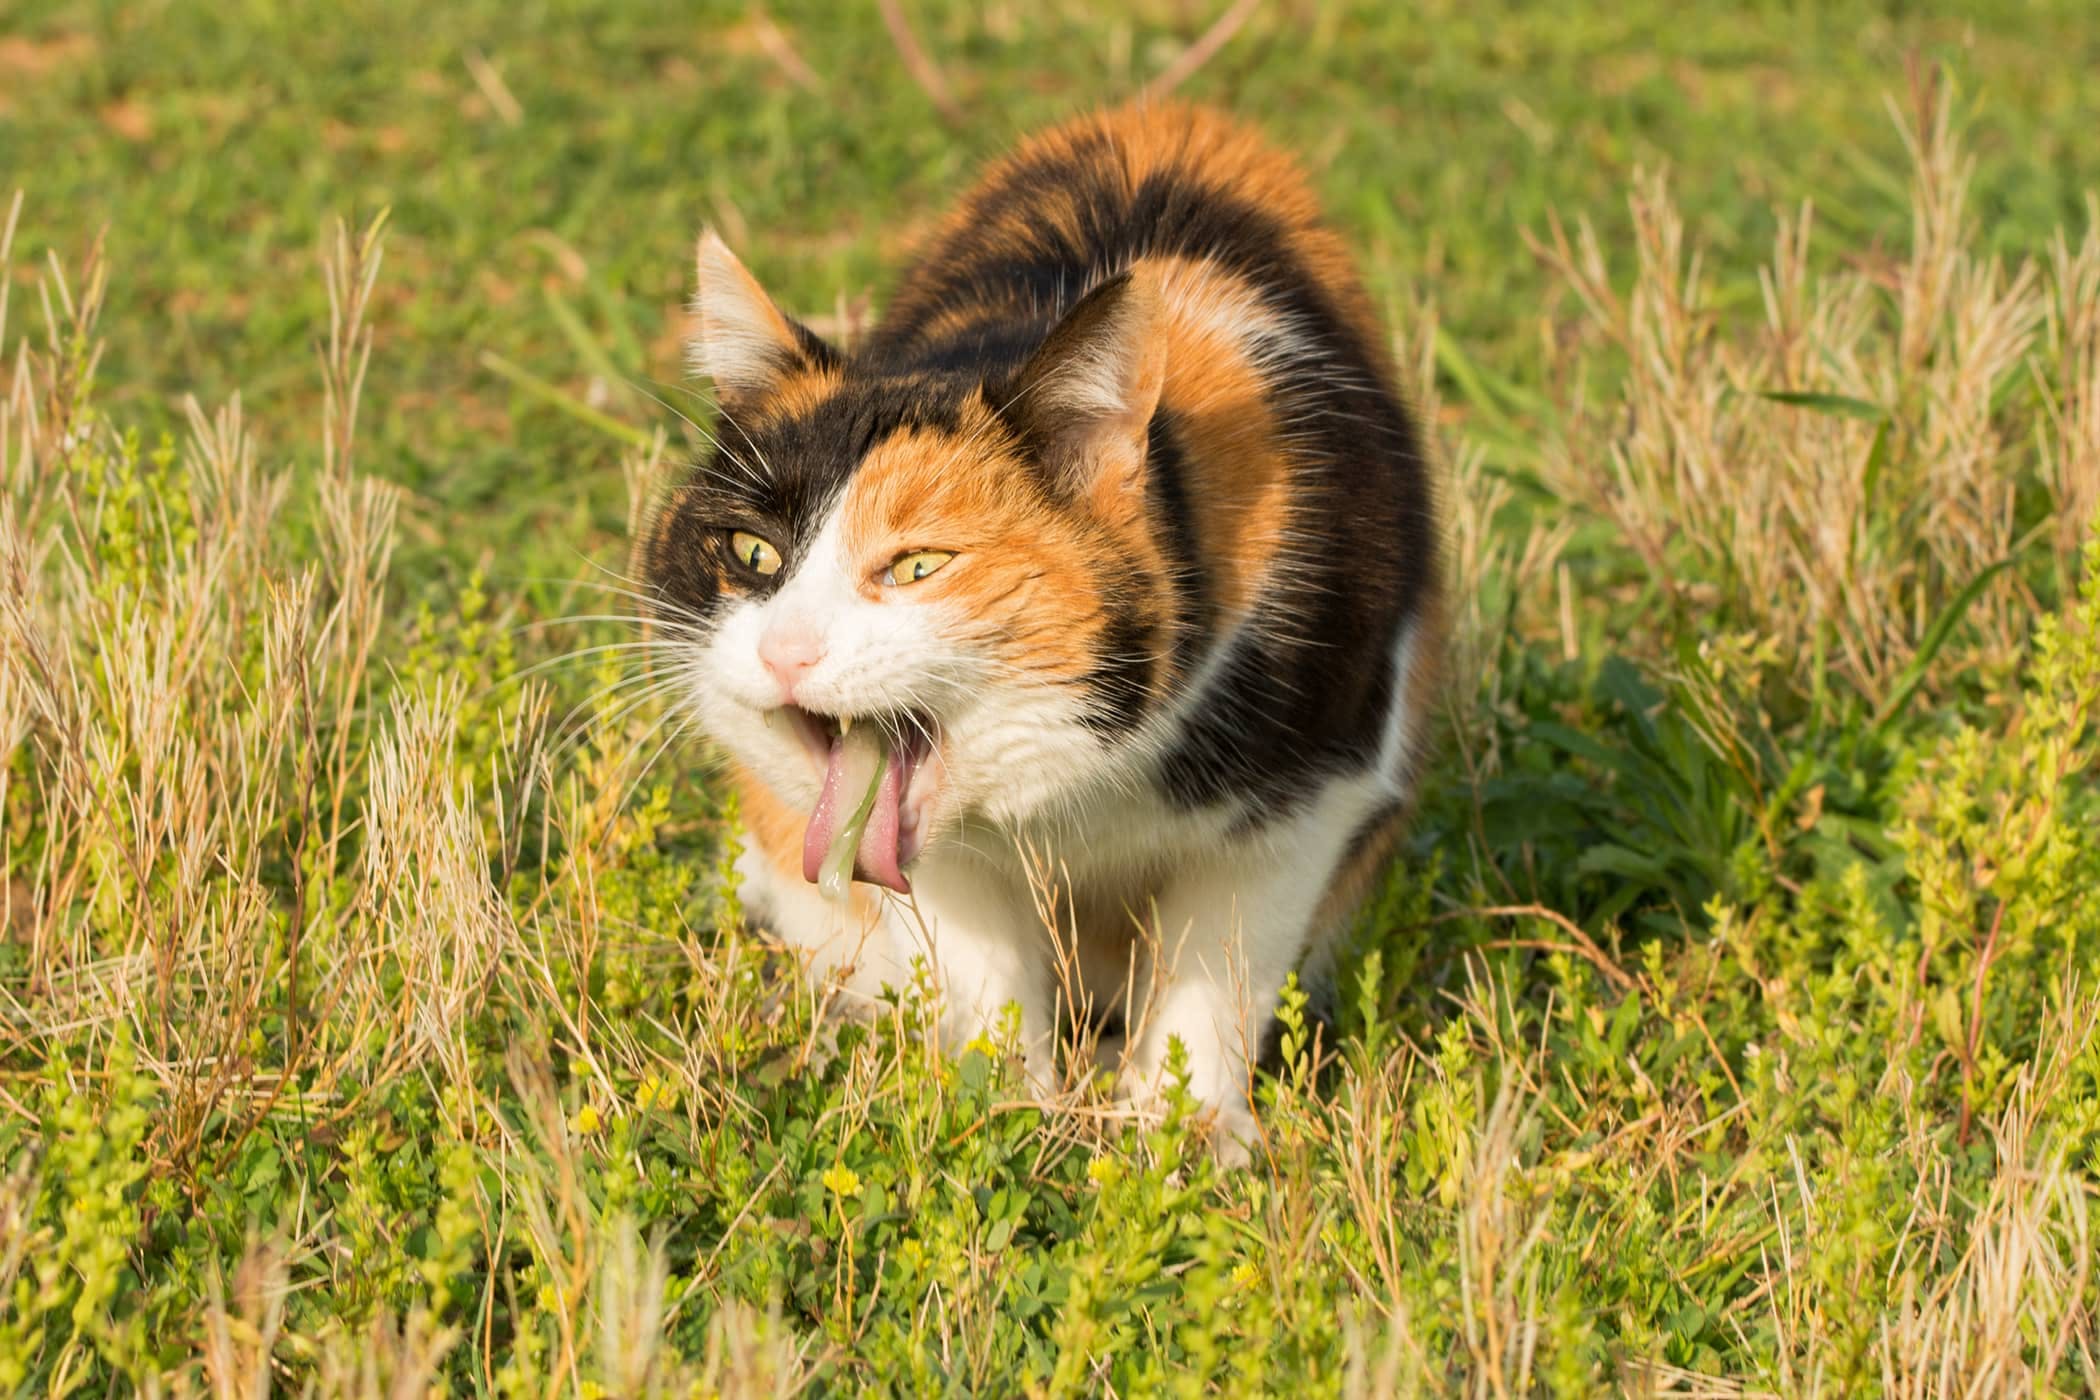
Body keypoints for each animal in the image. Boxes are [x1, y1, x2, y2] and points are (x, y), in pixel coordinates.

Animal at [651, 103, 1444, 1158]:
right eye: (752, 552)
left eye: (918, 565)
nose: (787, 650)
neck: (1085, 784)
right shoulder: (938, 862)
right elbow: (985, 974)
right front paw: (1000, 1114)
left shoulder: (1311, 794)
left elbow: (1220, 967)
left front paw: (1185, 1140)